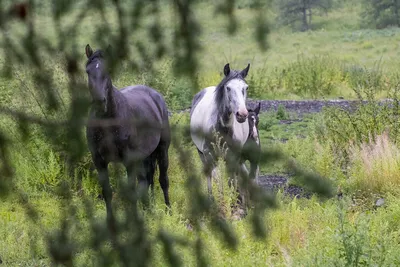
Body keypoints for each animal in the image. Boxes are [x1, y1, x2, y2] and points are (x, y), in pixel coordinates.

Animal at [84, 44, 170, 228]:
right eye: (88, 71)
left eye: (108, 70)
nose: (99, 102)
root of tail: (154, 95)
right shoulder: (99, 161)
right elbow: (107, 191)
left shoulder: (129, 160)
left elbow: (131, 191)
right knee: (147, 181)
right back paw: (148, 209)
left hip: (162, 150)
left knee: (163, 180)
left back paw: (169, 210)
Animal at [190, 62, 252, 207]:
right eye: (228, 88)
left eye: (245, 88)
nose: (242, 114)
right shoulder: (209, 153)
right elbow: (217, 177)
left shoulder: (233, 156)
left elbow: (231, 179)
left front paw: (235, 203)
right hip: (202, 153)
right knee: (210, 174)